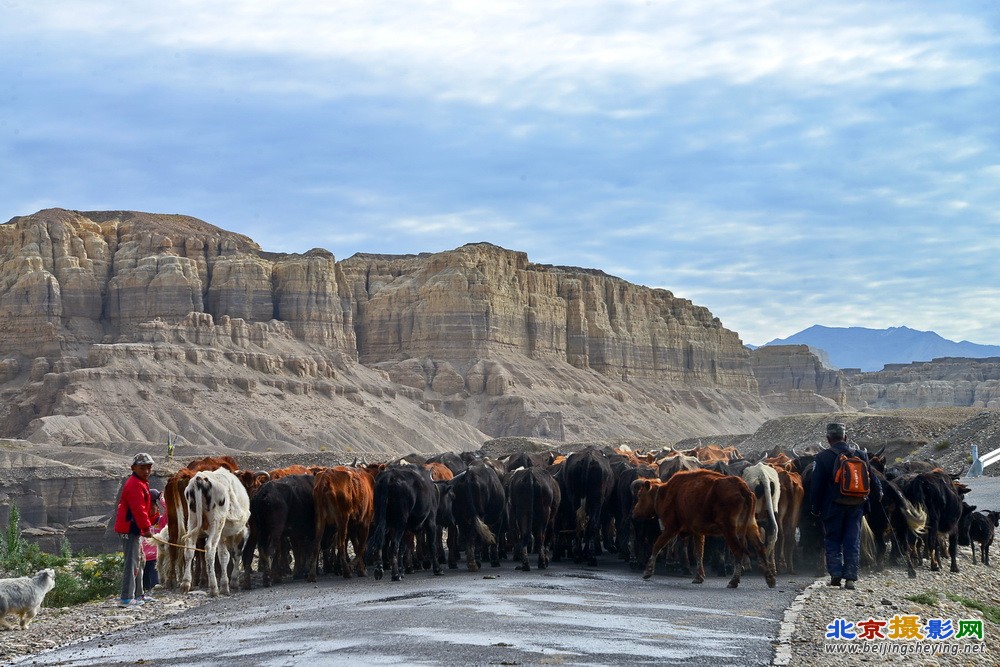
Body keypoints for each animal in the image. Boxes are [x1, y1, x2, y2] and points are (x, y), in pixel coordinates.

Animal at [180, 468, 250, 596]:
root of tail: (199, 478)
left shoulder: (222, 534)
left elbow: (224, 555)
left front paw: (225, 584)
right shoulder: (242, 531)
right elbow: (237, 553)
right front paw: (233, 581)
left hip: (193, 519)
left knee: (189, 548)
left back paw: (186, 583)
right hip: (216, 521)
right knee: (210, 550)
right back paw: (213, 587)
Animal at [632, 470, 780, 588]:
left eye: (640, 495)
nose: (634, 513)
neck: (666, 493)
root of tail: (741, 487)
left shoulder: (671, 527)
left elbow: (657, 545)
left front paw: (647, 571)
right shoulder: (698, 532)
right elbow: (699, 553)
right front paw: (699, 577)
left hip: (730, 530)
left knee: (738, 551)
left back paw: (733, 581)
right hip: (750, 526)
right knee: (760, 548)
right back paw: (770, 579)